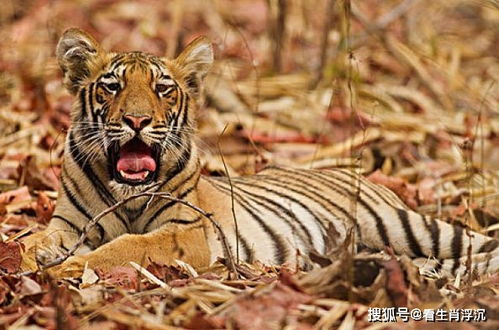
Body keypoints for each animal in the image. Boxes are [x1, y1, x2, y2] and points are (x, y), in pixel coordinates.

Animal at [21, 27, 499, 278]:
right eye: (111, 86)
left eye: (162, 89)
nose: (137, 120)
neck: (127, 193)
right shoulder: (68, 223)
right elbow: (33, 237)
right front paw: (31, 259)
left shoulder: (184, 232)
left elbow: (125, 247)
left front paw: (63, 271)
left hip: (406, 225)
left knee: (479, 245)